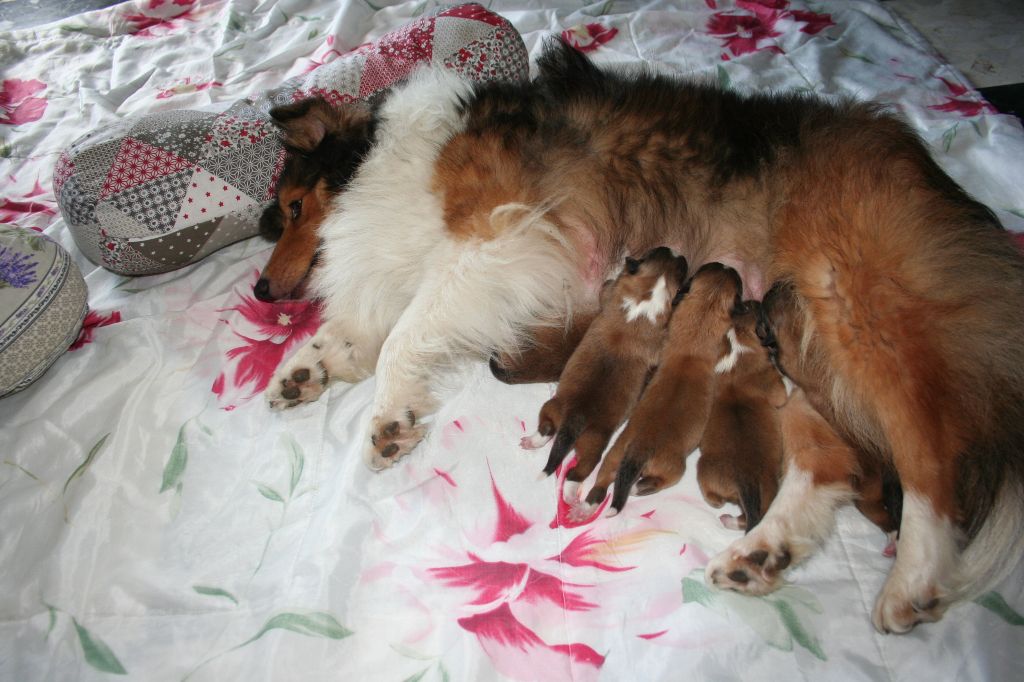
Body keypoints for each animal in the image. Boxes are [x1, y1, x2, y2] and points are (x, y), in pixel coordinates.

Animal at [520, 245, 688, 493]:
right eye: (682, 267)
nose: (673, 250)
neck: (648, 293)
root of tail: (573, 420)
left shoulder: (610, 293)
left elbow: (606, 288)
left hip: (553, 408)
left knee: (546, 429)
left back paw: (532, 442)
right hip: (593, 442)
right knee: (579, 470)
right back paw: (572, 491)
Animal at [585, 262, 745, 512]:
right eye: (738, 284)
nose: (726, 264)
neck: (704, 309)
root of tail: (637, 454)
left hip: (615, 454)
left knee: (603, 477)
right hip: (675, 467)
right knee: (661, 480)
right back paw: (642, 487)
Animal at [700, 299, 786, 532]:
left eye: (745, 306)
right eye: (758, 311)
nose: (757, 300)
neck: (737, 338)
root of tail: (745, 483)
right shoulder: (774, 387)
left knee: (734, 512)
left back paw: (727, 519)